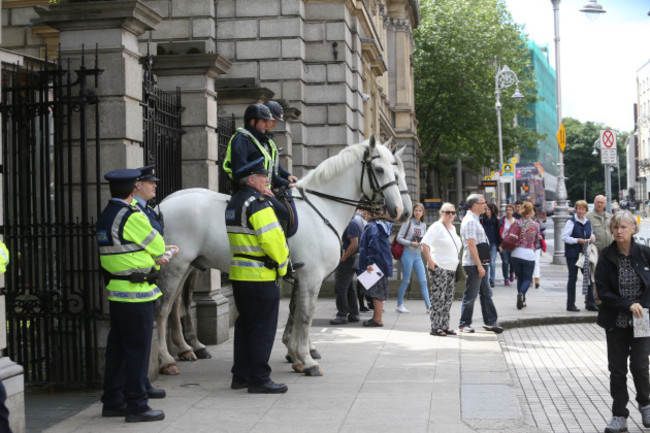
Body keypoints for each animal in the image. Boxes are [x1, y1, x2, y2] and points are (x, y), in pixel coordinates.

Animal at [154, 137, 402, 372]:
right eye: (379, 169)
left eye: (395, 171)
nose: (399, 210)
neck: (321, 208)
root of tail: (163, 204)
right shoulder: (311, 277)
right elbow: (305, 315)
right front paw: (306, 359)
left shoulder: (302, 278)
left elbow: (297, 312)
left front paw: (297, 355)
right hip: (175, 266)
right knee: (163, 309)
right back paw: (166, 359)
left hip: (187, 266)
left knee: (175, 307)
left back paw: (185, 348)